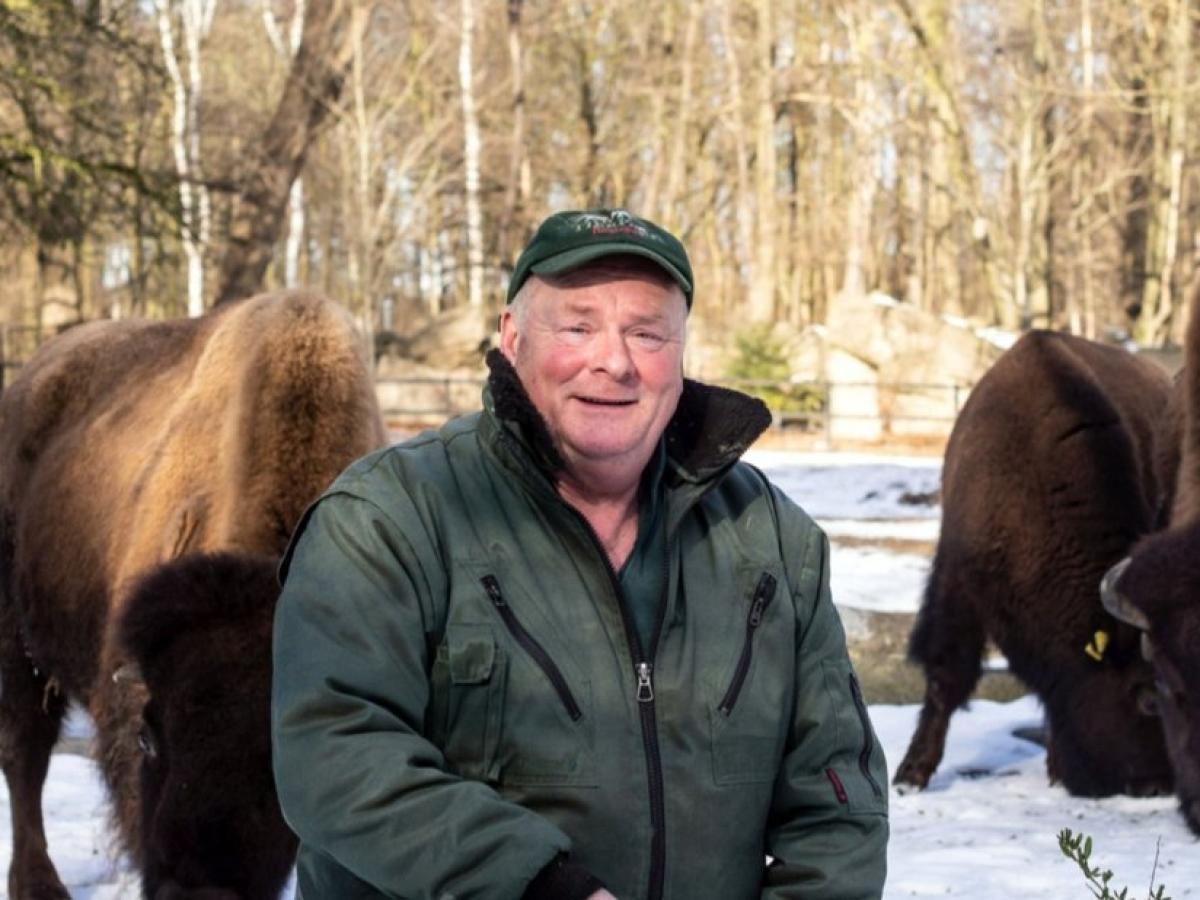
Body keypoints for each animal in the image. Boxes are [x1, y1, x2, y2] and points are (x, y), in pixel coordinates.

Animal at [0, 292, 384, 897]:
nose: (194, 888)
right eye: (149, 739)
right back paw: (38, 884)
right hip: (17, 639)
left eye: (281, 758)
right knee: (25, 753)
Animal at [897, 331, 1176, 796]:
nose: (1160, 785)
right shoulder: (957, 583)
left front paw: (1057, 767)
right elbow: (946, 678)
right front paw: (910, 776)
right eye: (1147, 697)